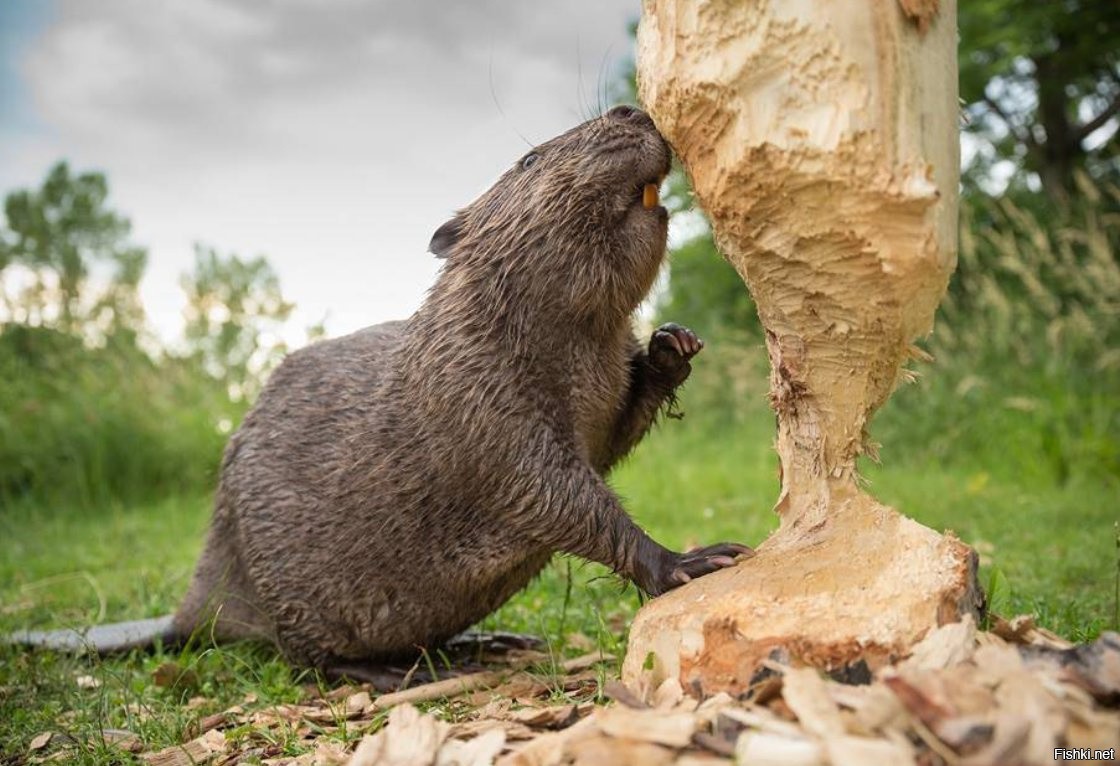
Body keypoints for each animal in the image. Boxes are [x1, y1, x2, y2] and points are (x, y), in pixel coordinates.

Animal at [13, 106, 752, 676]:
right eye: (529, 158)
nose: (631, 111)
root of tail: (193, 608)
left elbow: (611, 437)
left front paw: (672, 345)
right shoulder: (473, 396)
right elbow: (550, 491)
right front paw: (688, 561)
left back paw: (489, 639)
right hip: (295, 600)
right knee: (305, 660)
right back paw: (393, 672)